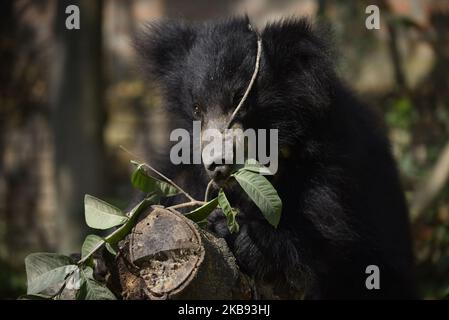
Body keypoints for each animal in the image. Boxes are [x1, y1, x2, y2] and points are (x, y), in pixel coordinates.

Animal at [135, 16, 414, 298]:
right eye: (196, 108)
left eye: (240, 100)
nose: (217, 166)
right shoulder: (183, 169)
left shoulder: (331, 167)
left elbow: (329, 237)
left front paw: (234, 231)